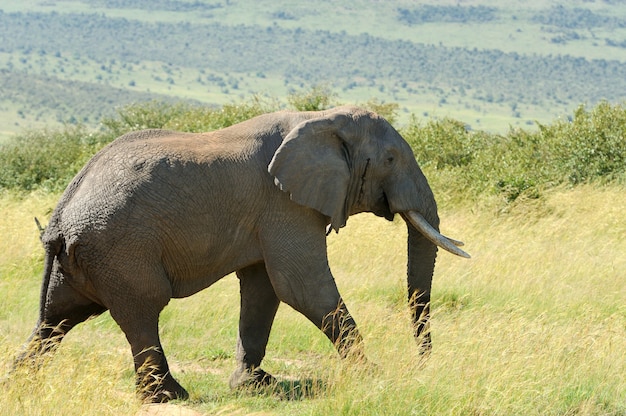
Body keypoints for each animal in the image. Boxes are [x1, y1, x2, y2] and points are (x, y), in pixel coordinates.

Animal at [12, 105, 468, 402]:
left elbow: (263, 288)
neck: (322, 117)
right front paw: (372, 375)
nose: (423, 365)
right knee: (141, 310)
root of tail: (60, 217)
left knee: (57, 317)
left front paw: (253, 386)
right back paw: (170, 397)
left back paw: (19, 383)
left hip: (83, 258)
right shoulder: (284, 203)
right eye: (390, 159)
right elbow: (300, 285)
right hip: (120, 250)